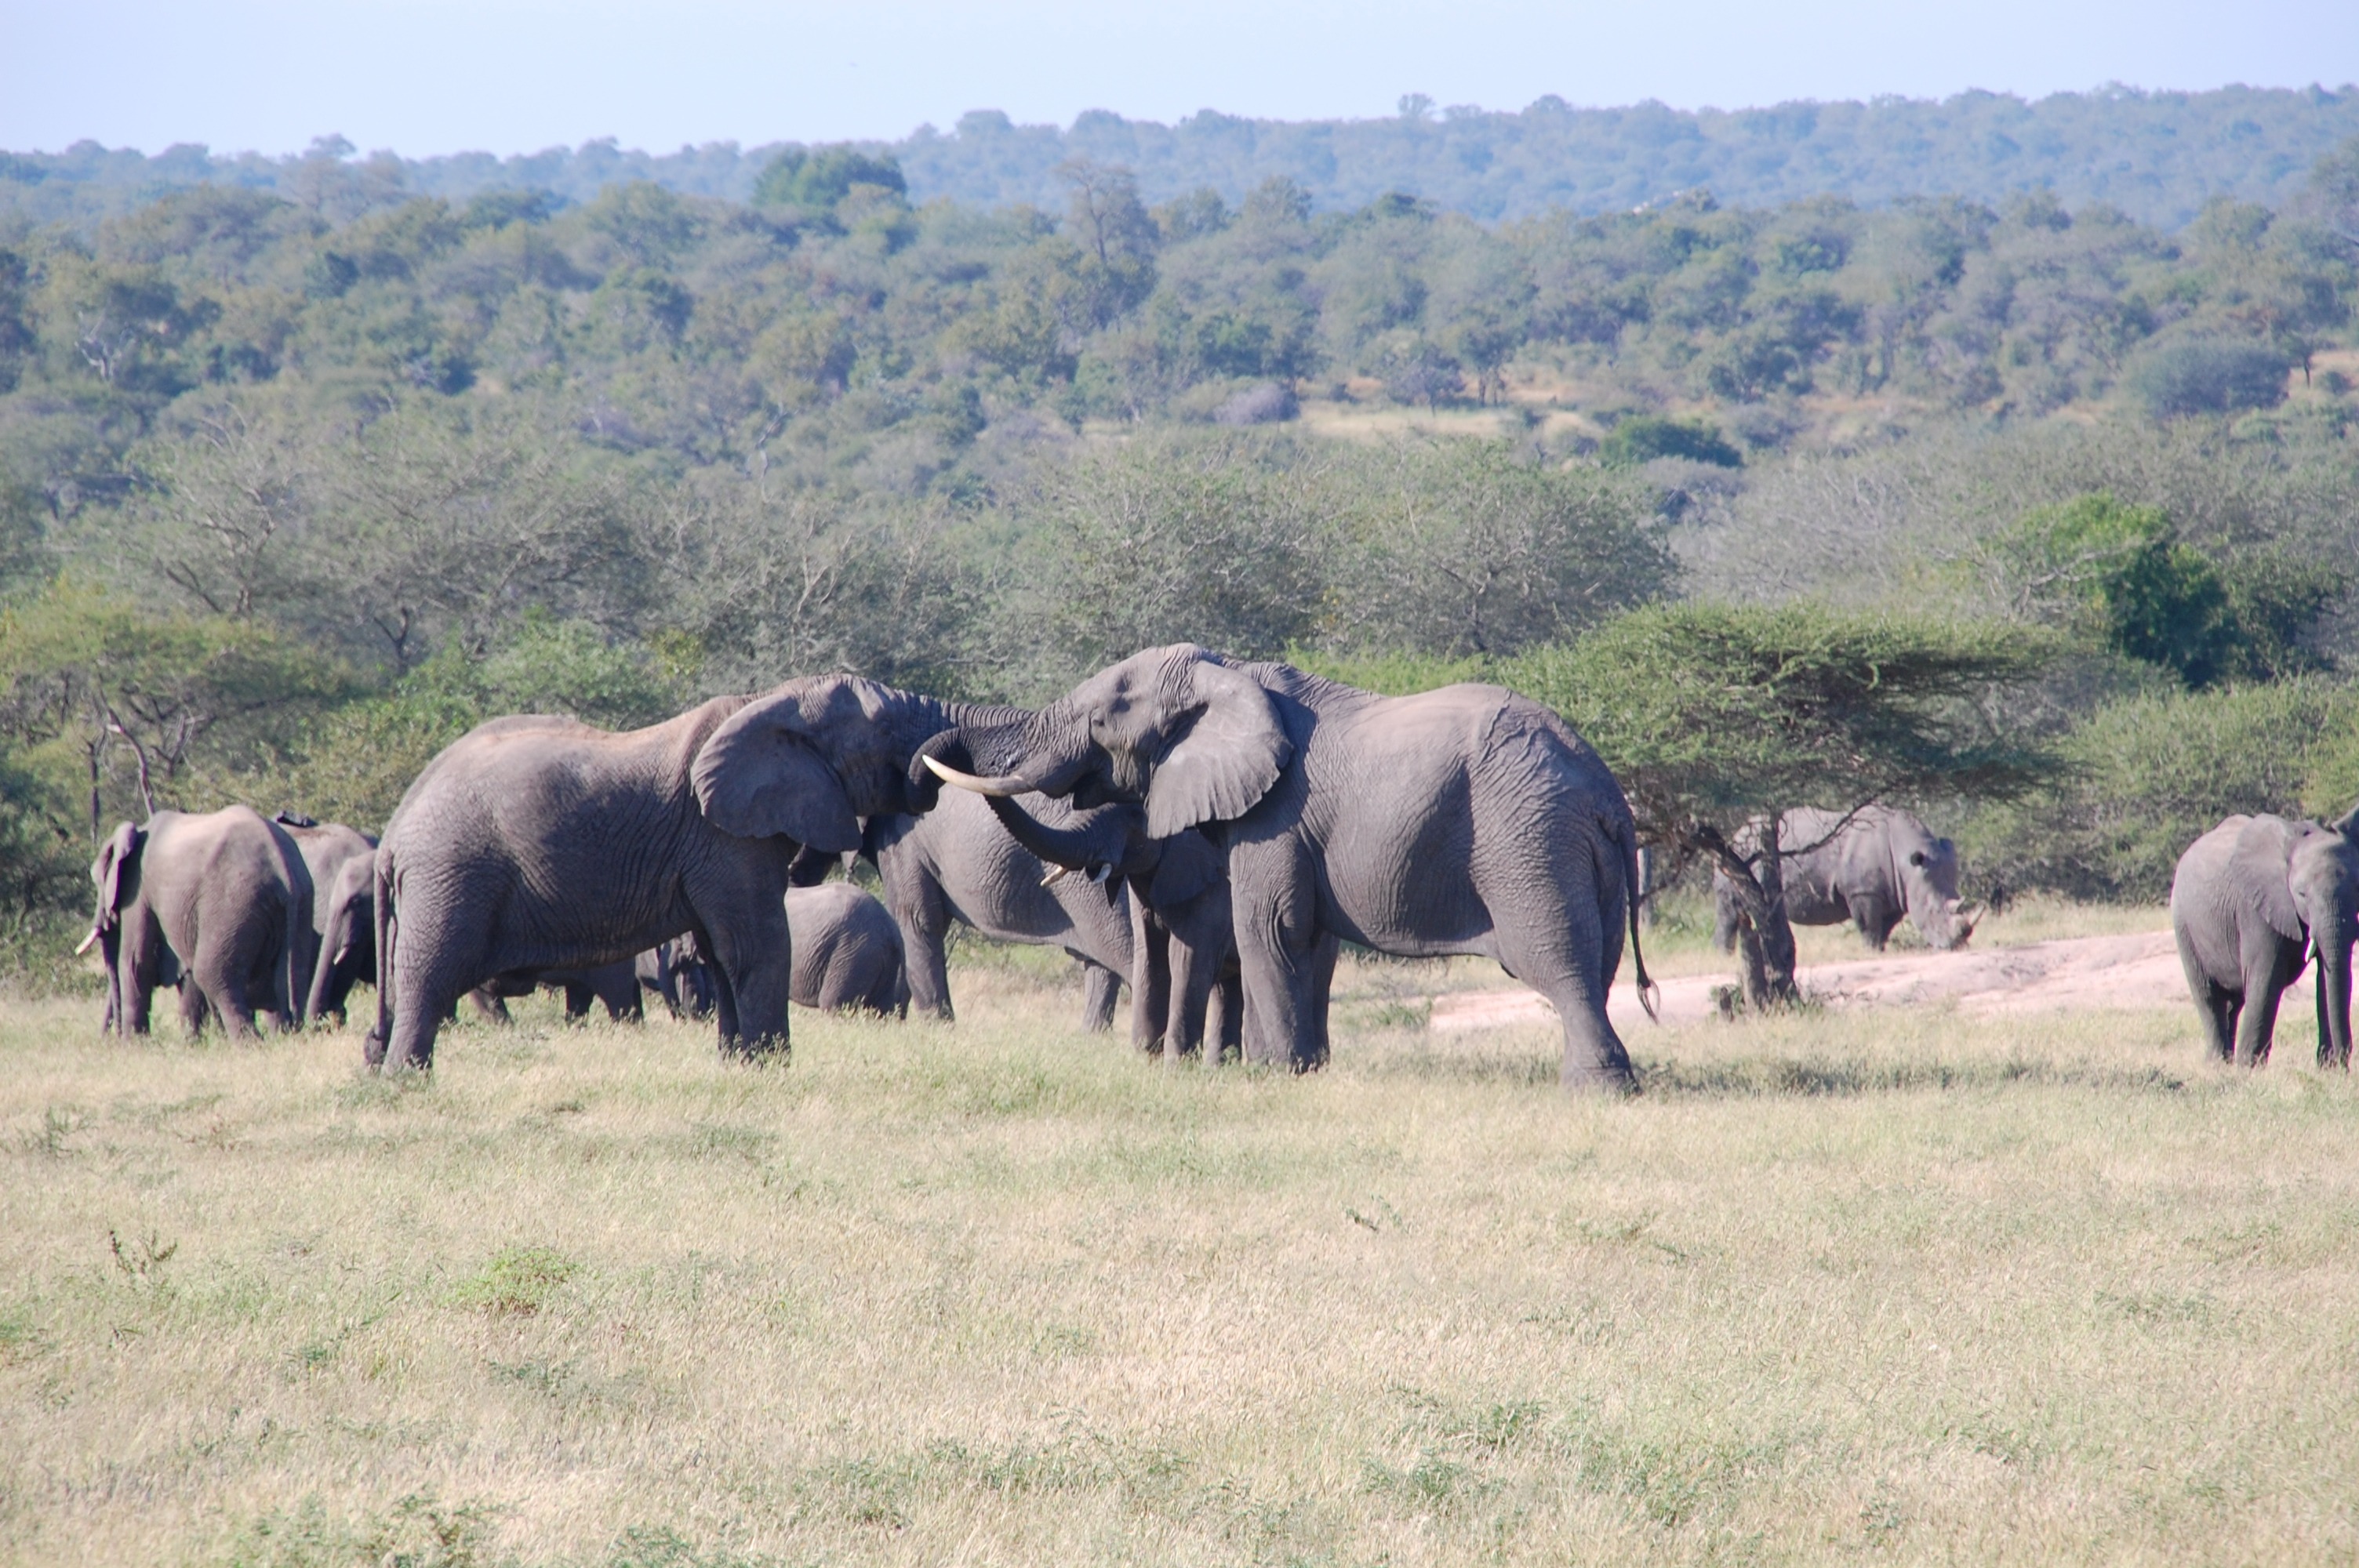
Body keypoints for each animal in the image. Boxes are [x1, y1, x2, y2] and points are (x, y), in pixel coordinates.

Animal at [80, 806, 316, 1040]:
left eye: (97, 881)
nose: (109, 1038)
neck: (137, 831)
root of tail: (282, 869)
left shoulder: (138, 889)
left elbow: (136, 962)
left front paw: (135, 1045)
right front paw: (190, 1043)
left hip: (233, 904)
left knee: (213, 976)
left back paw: (249, 1044)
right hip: (300, 906)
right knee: (279, 985)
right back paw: (282, 1039)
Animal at [981, 793, 1244, 1061]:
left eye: (1136, 814)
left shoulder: (1212, 888)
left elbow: (1187, 960)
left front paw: (1176, 1064)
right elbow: (1150, 955)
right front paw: (1146, 1057)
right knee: (1228, 989)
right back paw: (1222, 1064)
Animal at [1710, 806, 1981, 954]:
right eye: (1933, 911)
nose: (1956, 946)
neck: (1909, 860)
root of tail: (1737, 833)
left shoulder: (1895, 892)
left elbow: (1885, 927)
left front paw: (1879, 950)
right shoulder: (1863, 891)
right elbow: (1869, 925)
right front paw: (1871, 951)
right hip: (1740, 855)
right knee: (1729, 910)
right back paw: (1723, 956)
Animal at [2170, 809, 2359, 1068]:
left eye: (2358, 890)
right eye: (2301, 894)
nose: (2342, 1061)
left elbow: (2327, 978)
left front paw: (2328, 1068)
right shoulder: (2256, 909)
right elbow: (2267, 976)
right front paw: (2248, 1069)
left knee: (2234, 1002)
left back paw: (2226, 1062)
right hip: (2184, 924)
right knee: (2208, 996)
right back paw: (2217, 1063)